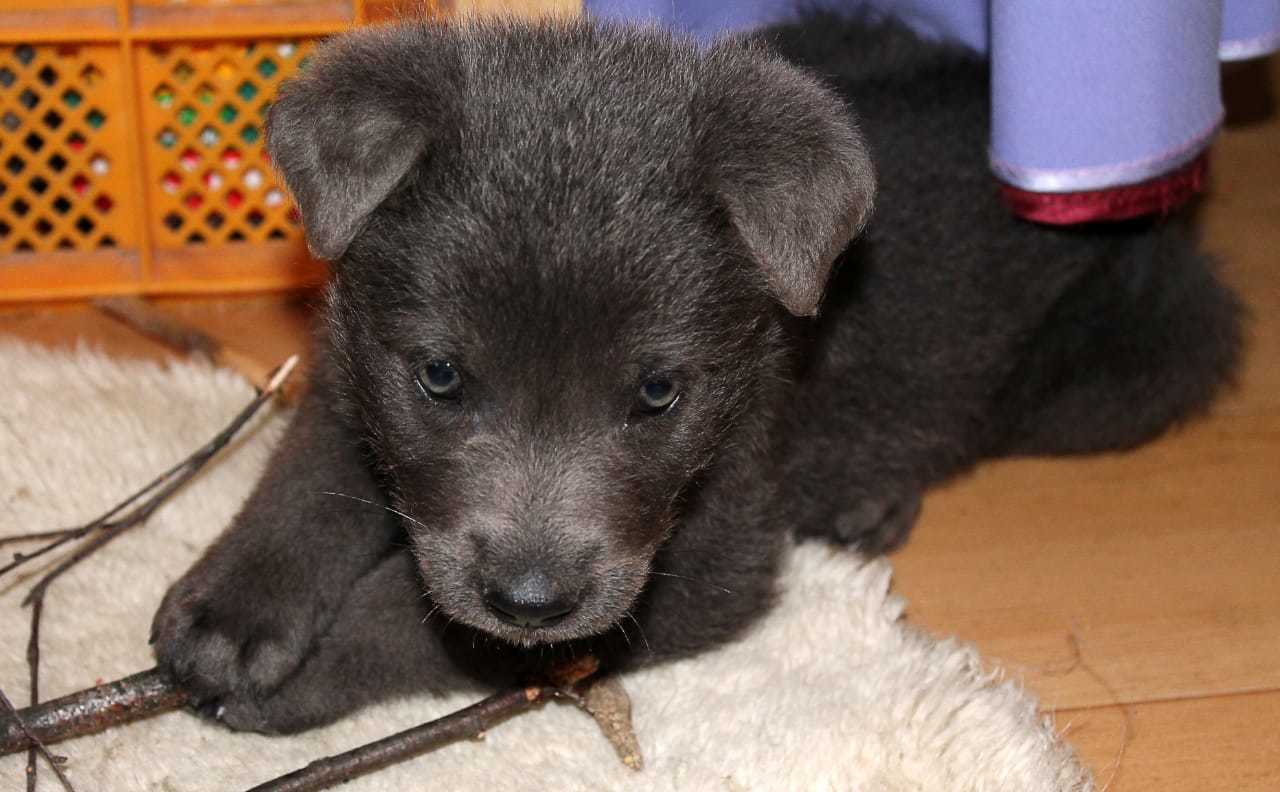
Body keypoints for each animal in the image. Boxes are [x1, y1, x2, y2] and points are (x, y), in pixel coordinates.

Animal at [149, 12, 1239, 731]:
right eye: (442, 376)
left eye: (657, 392)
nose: (532, 598)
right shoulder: (351, 365)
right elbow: (308, 477)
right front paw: (232, 614)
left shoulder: (714, 550)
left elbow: (427, 626)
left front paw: (307, 671)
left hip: (1139, 362)